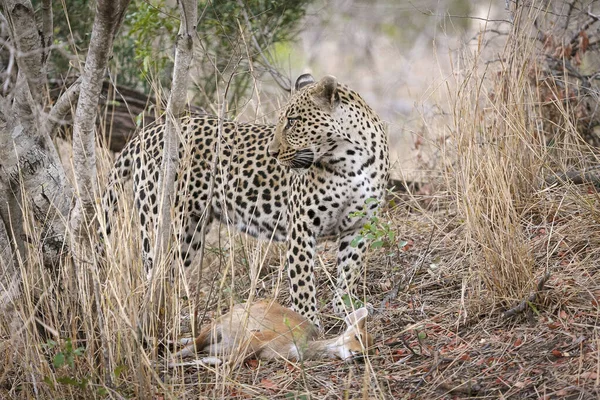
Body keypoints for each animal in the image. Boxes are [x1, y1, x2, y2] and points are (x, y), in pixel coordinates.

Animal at [102, 74, 390, 324]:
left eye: (293, 121)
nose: (272, 152)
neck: (350, 161)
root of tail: (147, 131)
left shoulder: (360, 225)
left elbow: (349, 269)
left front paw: (345, 306)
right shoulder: (301, 226)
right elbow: (302, 281)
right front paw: (308, 320)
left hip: (190, 230)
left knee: (169, 273)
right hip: (161, 220)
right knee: (152, 273)